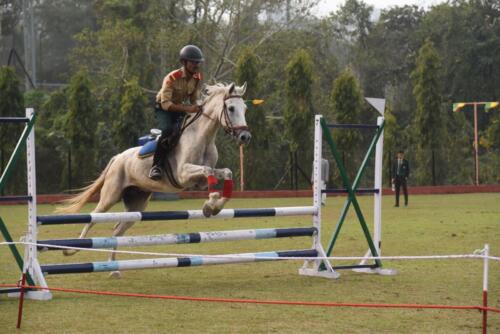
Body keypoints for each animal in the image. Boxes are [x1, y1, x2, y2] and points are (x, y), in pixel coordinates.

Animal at [59, 81, 252, 276]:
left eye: (245, 108)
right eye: (231, 108)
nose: (245, 137)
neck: (202, 137)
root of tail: (118, 157)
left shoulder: (201, 182)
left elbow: (225, 172)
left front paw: (215, 206)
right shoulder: (183, 175)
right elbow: (207, 170)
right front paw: (210, 205)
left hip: (136, 204)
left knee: (117, 230)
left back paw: (113, 268)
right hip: (110, 196)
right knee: (93, 217)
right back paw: (72, 249)